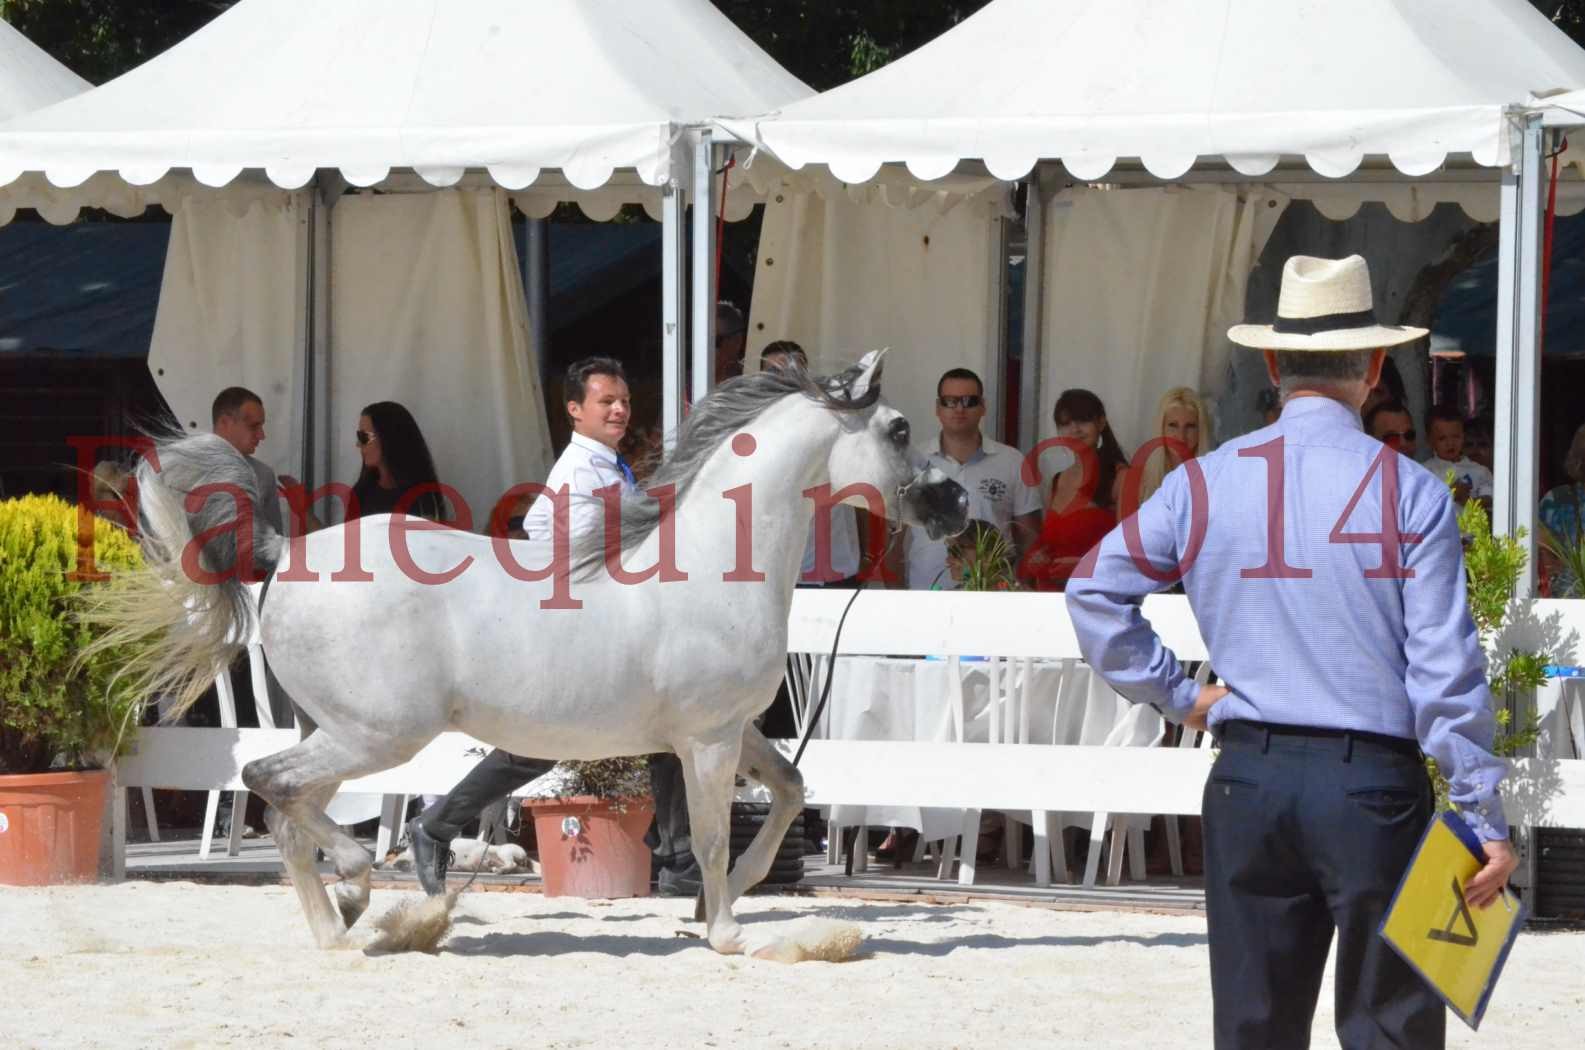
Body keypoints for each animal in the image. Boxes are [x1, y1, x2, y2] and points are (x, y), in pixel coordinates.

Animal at [99, 355, 970, 964]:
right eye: (898, 429)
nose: (955, 503)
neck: (711, 563)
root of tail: (286, 550)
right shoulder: (708, 740)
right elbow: (713, 836)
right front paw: (725, 931)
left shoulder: (725, 730)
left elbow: (789, 788)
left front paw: (738, 895)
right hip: (378, 735)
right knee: (269, 784)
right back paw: (363, 893)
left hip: (342, 733)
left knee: (284, 813)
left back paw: (341, 925)